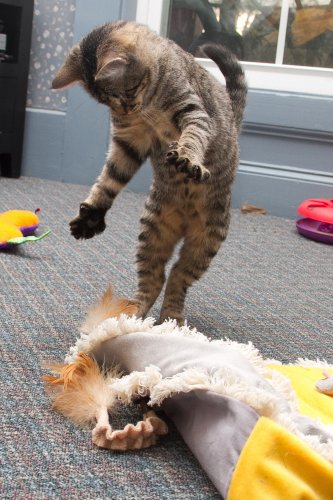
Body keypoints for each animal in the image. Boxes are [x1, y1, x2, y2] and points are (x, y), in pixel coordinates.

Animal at [52, 21, 246, 322]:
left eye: (128, 91)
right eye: (107, 101)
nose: (127, 109)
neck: (149, 106)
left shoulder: (193, 111)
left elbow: (193, 137)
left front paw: (187, 158)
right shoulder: (130, 142)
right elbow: (109, 179)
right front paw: (92, 213)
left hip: (205, 242)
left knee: (178, 277)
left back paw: (172, 317)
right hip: (152, 236)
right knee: (155, 280)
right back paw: (132, 314)